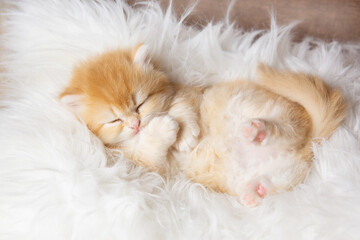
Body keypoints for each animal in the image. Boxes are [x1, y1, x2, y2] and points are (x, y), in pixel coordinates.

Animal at [60, 45, 348, 206]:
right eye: (114, 120)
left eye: (141, 103)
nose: (135, 124)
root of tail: (309, 143)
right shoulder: (146, 168)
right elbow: (150, 149)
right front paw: (163, 129)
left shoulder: (190, 94)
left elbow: (182, 107)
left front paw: (183, 133)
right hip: (265, 173)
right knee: (275, 179)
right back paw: (255, 190)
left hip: (249, 104)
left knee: (286, 130)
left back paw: (259, 131)